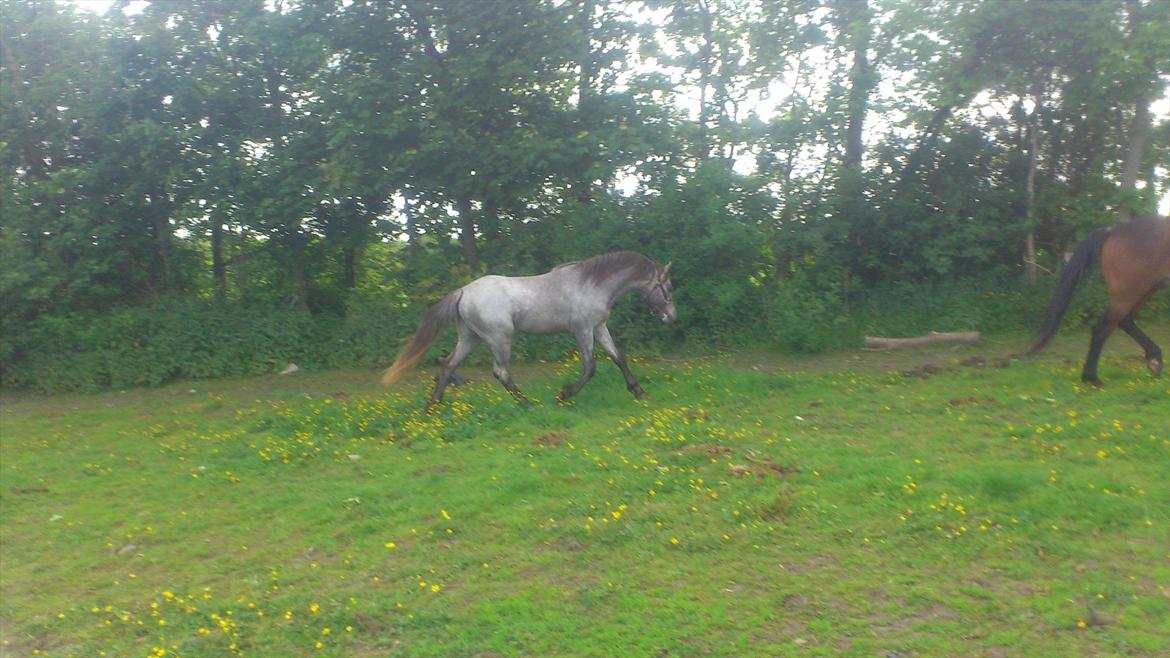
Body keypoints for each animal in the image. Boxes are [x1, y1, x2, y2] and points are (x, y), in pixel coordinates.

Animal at [381, 251, 676, 409]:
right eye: (669, 287)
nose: (672, 316)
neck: (591, 284)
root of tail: (463, 291)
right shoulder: (581, 330)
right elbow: (590, 367)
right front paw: (564, 395)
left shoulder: (598, 327)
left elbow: (618, 357)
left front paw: (638, 391)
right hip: (499, 338)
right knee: (501, 373)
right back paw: (526, 403)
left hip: (470, 338)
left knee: (448, 366)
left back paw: (431, 408)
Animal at [1029, 214, 1170, 386]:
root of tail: (1113, 231)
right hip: (1130, 293)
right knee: (1102, 328)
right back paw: (1092, 378)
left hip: (1143, 290)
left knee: (1124, 321)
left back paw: (1154, 360)